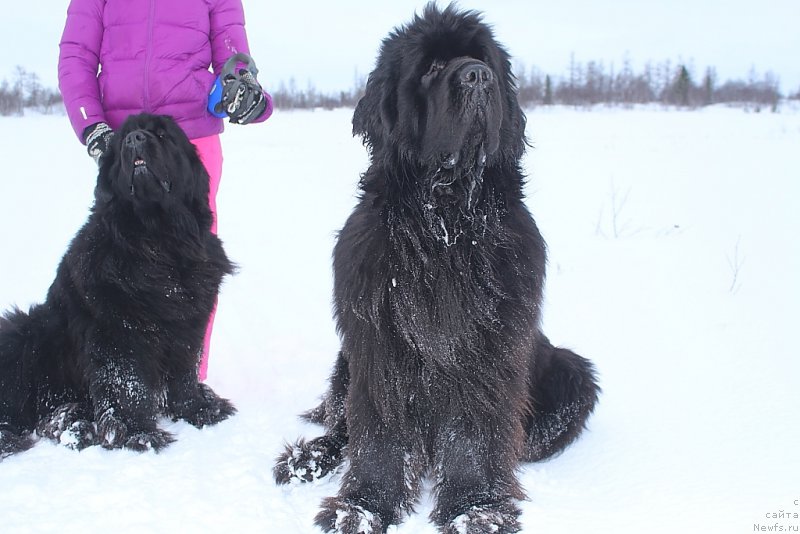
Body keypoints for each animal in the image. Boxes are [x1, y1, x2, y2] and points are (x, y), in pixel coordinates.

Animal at [0, 113, 236, 460]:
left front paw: (199, 410)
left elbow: (185, 372)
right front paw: (140, 434)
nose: (136, 139)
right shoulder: (117, 334)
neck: (156, 239)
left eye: (163, 134)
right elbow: (127, 387)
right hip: (21, 336)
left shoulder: (188, 326)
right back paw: (69, 427)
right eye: (124, 137)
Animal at [276, 4, 600, 534]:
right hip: (347, 358)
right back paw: (306, 460)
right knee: (342, 424)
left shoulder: (488, 351)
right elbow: (378, 434)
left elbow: (474, 435)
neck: (445, 222)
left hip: (573, 372)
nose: (477, 76)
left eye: (485, 61)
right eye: (429, 68)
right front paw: (361, 507)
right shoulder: (379, 344)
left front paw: (476, 509)